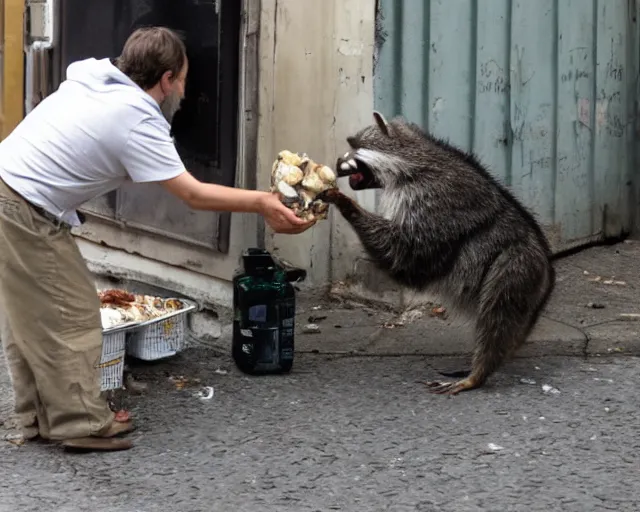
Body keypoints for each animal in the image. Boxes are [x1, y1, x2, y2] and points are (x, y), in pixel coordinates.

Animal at [320, 113, 556, 396]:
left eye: (354, 146)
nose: (336, 161)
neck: (410, 159)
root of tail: (547, 270)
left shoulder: (434, 201)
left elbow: (405, 251)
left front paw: (347, 205)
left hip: (515, 265)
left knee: (498, 314)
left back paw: (478, 373)